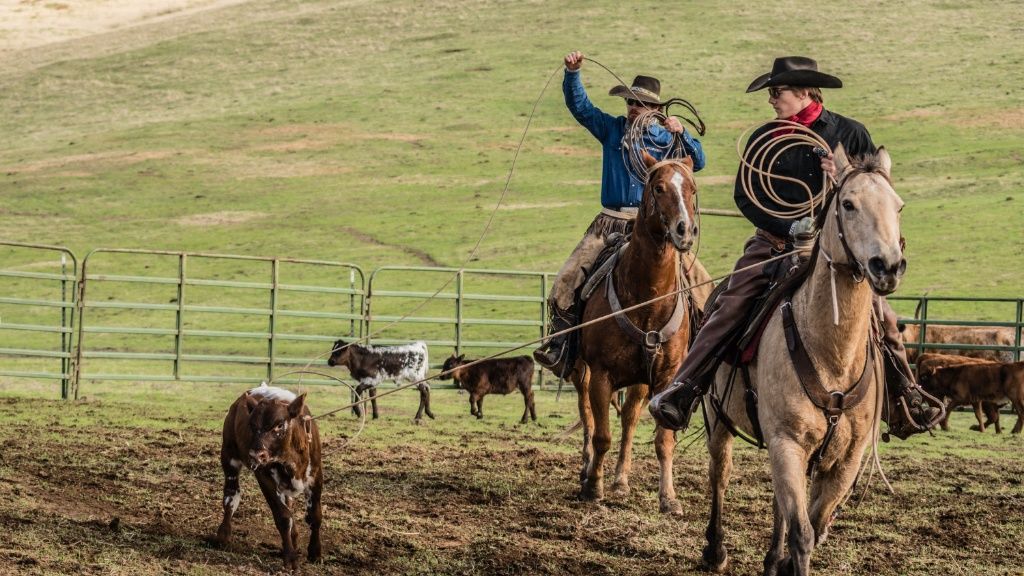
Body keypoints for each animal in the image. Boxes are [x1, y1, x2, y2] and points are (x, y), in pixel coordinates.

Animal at [216, 383, 323, 565]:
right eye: (252, 425)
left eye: (279, 425)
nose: (255, 455)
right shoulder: (265, 478)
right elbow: (283, 516)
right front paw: (290, 557)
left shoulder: (315, 476)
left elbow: (314, 516)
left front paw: (315, 552)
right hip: (229, 455)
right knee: (231, 495)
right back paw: (224, 534)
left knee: (289, 502)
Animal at [573, 148, 700, 510]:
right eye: (658, 187)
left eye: (692, 189)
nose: (685, 231)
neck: (646, 298)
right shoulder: (601, 374)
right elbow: (602, 435)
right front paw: (594, 487)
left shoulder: (665, 378)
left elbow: (663, 440)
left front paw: (669, 498)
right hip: (581, 370)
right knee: (587, 414)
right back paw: (588, 471)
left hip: (641, 381)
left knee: (629, 419)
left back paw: (620, 481)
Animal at [704, 144, 905, 573]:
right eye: (848, 204)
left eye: (897, 206)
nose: (888, 266)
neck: (833, 356)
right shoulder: (787, 443)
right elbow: (803, 534)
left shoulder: (846, 459)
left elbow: (814, 521)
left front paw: (779, 561)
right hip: (718, 418)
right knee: (720, 474)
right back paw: (715, 549)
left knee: (778, 502)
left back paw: (769, 558)